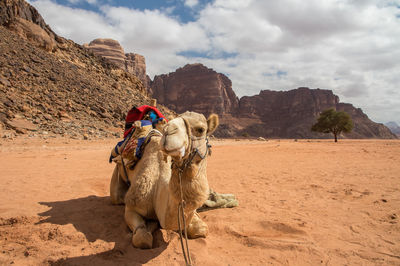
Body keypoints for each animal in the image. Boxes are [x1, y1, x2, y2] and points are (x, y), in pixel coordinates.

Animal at [109, 111, 219, 248]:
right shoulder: (132, 207)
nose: (168, 130)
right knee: (117, 197)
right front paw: (150, 226)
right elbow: (142, 238)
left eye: (201, 129)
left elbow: (201, 229)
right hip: (117, 173)